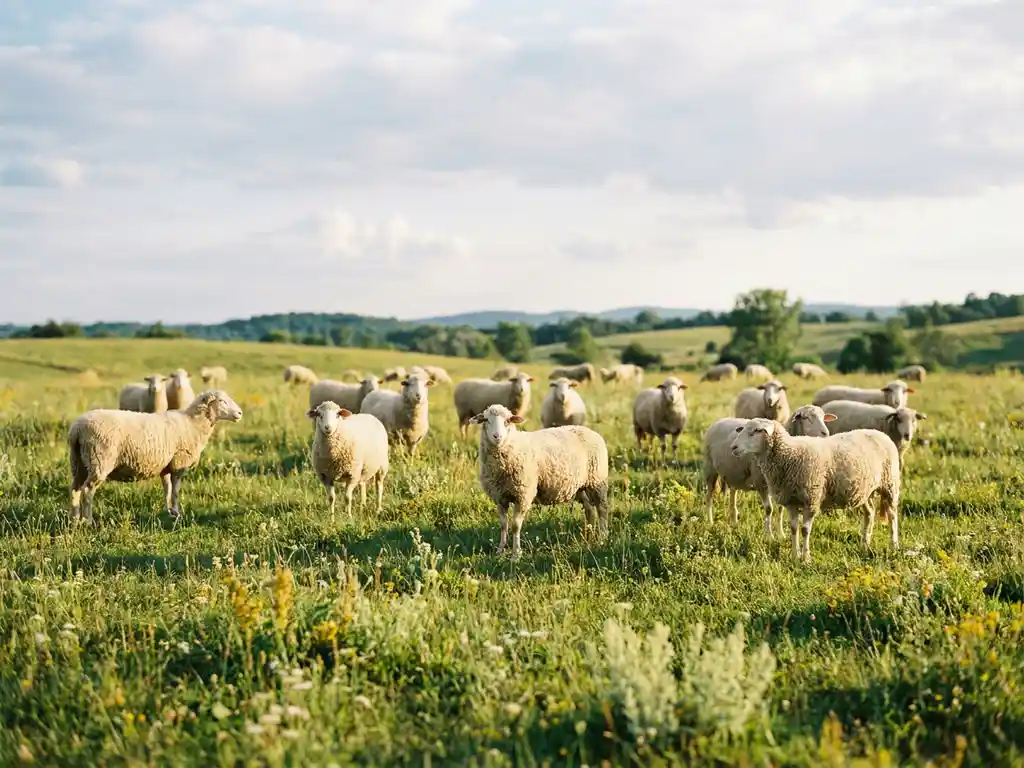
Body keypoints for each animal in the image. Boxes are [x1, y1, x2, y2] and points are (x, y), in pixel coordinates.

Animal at [68, 391, 243, 524]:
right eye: (222, 401)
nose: (240, 413)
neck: (193, 423)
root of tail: (77, 429)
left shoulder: (166, 465)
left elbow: (167, 489)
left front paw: (169, 511)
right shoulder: (179, 462)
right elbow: (175, 491)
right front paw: (177, 513)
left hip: (80, 462)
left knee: (75, 488)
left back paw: (75, 519)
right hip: (100, 459)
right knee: (87, 490)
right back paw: (88, 521)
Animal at [470, 404, 609, 559]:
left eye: (507, 421)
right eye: (486, 420)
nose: (497, 436)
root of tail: (590, 431)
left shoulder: (523, 495)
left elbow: (515, 525)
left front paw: (516, 555)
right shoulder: (499, 497)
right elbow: (503, 524)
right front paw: (500, 551)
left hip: (597, 481)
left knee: (602, 508)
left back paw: (602, 538)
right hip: (580, 486)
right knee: (589, 509)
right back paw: (587, 537)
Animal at [702, 407, 836, 535]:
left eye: (823, 417)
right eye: (805, 417)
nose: (826, 433)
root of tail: (719, 421)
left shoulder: (782, 487)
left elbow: (780, 509)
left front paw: (781, 534)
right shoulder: (759, 482)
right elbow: (769, 509)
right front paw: (769, 535)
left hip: (734, 473)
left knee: (733, 493)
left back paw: (734, 522)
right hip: (710, 467)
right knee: (709, 496)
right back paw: (710, 522)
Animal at [731, 418, 901, 563]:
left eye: (756, 431)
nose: (733, 447)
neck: (789, 454)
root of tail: (881, 434)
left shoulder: (811, 499)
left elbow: (805, 530)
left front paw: (806, 558)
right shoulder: (791, 501)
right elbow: (793, 528)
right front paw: (794, 556)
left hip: (890, 483)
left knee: (892, 515)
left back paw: (894, 545)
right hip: (864, 491)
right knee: (870, 512)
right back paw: (865, 544)